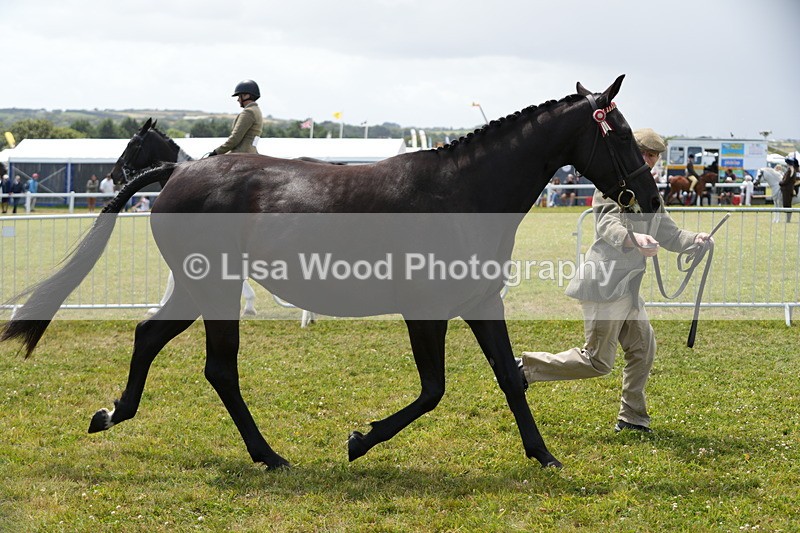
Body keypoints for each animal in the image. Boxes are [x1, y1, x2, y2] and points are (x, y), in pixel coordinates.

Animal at [1, 75, 662, 470]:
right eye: (623, 134)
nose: (652, 198)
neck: (460, 191)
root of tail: (178, 175)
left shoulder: (480, 302)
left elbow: (510, 376)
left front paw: (543, 455)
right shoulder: (425, 311)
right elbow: (433, 389)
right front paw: (360, 439)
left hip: (198, 288)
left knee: (151, 337)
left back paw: (114, 413)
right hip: (211, 286)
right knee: (217, 368)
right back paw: (266, 454)